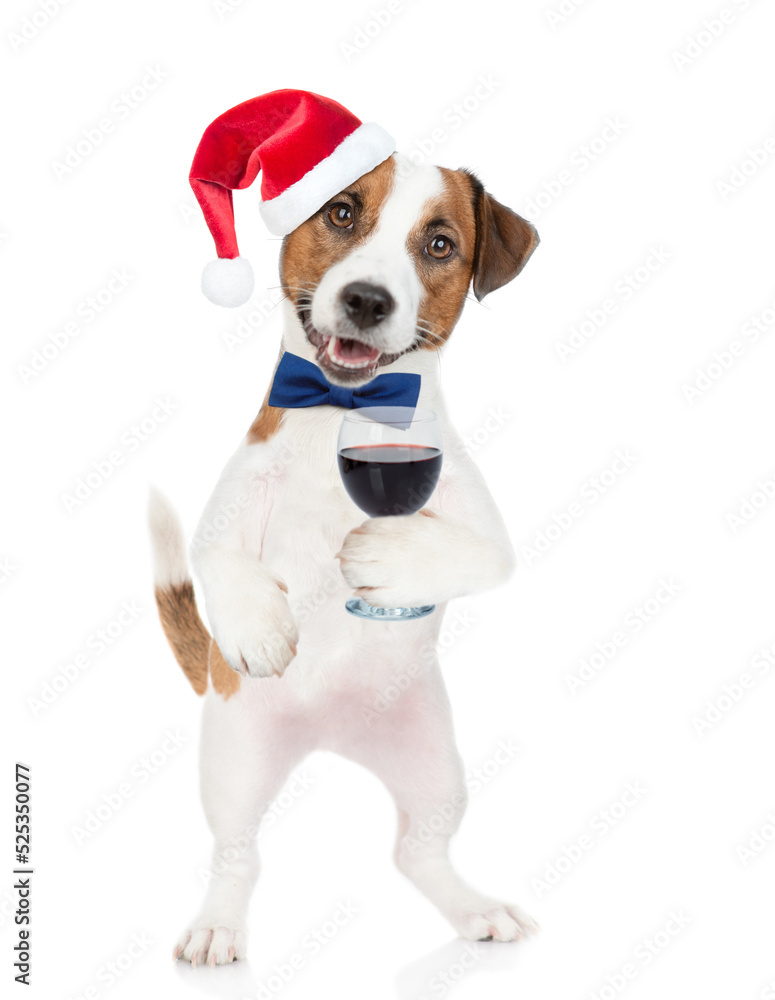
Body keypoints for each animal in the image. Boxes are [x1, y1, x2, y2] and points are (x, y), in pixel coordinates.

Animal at [150, 90, 540, 964]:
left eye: (439, 244)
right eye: (340, 211)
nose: (367, 299)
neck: (344, 410)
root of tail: (330, 734)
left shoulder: (483, 529)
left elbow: (473, 552)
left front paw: (383, 561)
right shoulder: (231, 499)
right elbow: (219, 553)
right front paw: (260, 628)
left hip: (434, 767)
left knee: (418, 851)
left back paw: (473, 910)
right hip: (234, 762)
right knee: (236, 856)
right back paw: (218, 925)